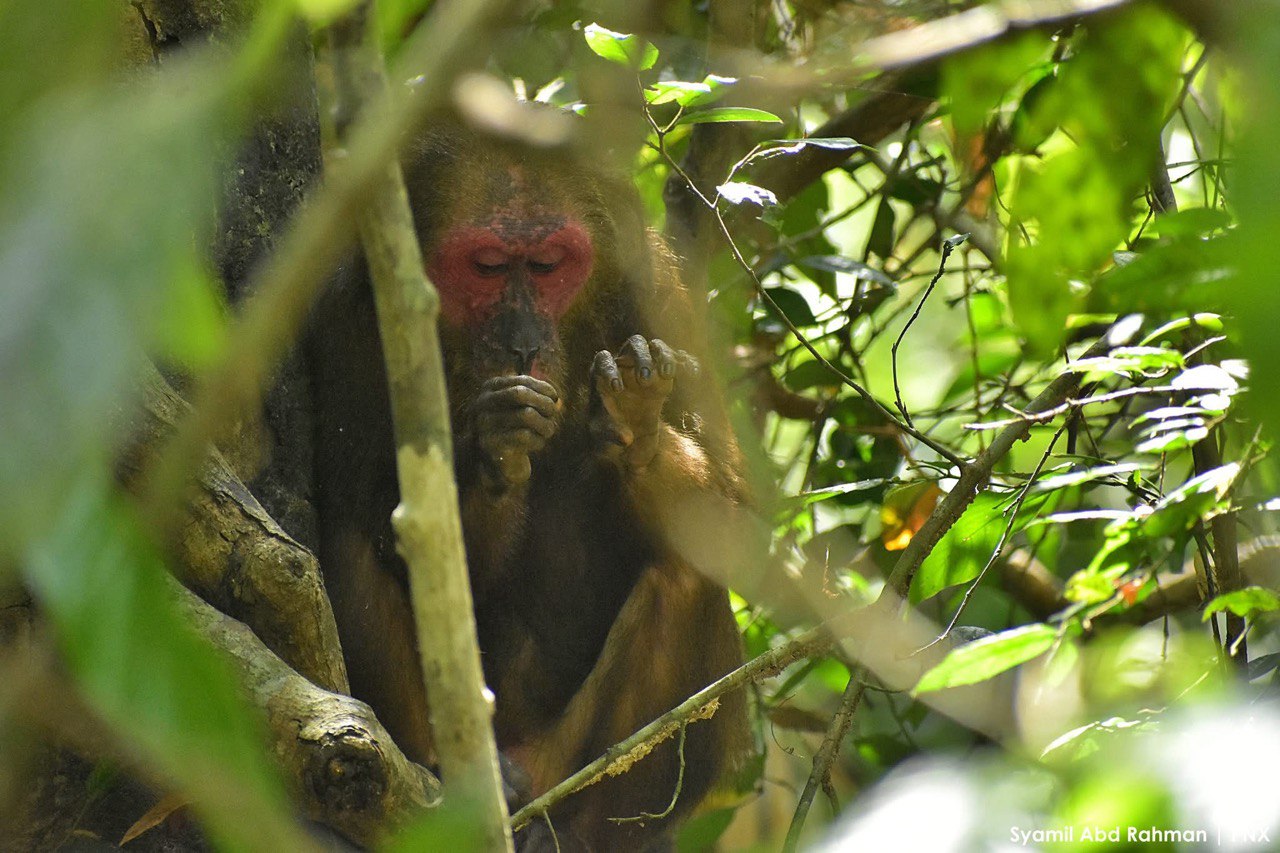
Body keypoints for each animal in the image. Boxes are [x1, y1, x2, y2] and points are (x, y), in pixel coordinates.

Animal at [309, 125, 753, 851]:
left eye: (547, 266)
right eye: (488, 266)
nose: (521, 343)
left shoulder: (657, 289)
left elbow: (734, 524)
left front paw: (636, 426)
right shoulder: (347, 315)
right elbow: (380, 517)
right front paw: (496, 449)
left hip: (567, 765)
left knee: (688, 577)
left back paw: (576, 829)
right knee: (349, 544)